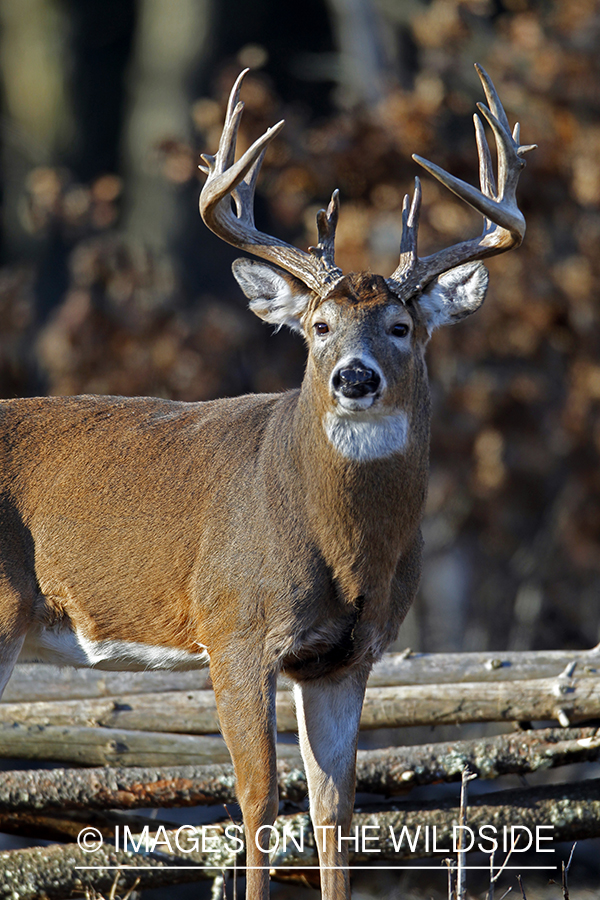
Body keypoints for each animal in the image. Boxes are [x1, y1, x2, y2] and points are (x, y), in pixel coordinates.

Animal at [0, 65, 536, 900]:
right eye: (317, 327)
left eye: (402, 327)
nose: (355, 378)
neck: (339, 549)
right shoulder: (234, 627)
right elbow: (257, 799)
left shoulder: (348, 655)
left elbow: (333, 807)